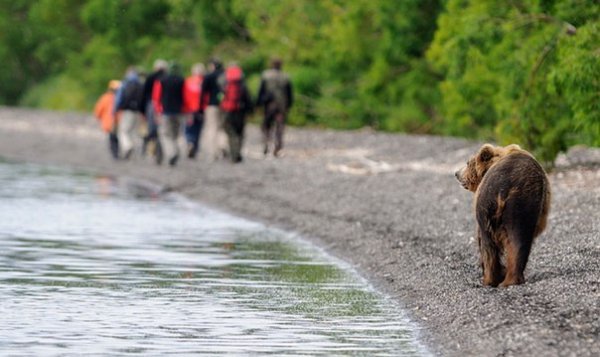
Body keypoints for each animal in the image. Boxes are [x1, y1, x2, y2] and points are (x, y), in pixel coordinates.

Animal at [458, 143, 552, 286]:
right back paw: (512, 279)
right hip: (524, 206)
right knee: (519, 241)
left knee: (487, 244)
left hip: (492, 206)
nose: (456, 173)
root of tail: (504, 188)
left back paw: (490, 279)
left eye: (468, 162)